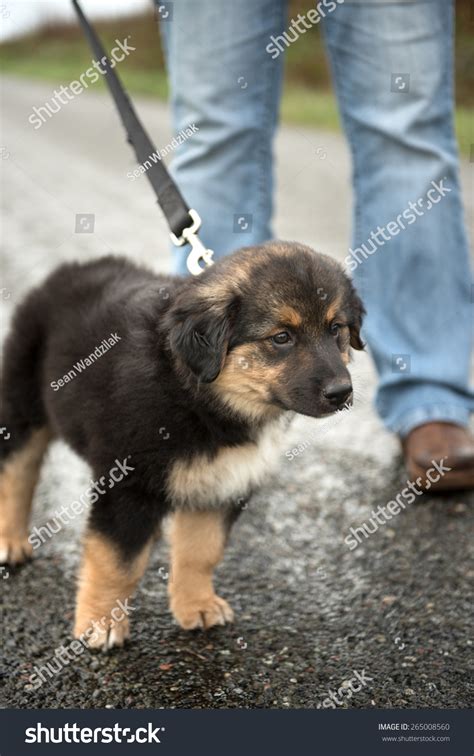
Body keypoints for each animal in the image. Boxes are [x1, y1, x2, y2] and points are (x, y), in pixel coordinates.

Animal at [0, 242, 364, 648]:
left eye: (336, 329)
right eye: (282, 337)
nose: (341, 393)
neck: (202, 398)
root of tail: (71, 269)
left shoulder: (223, 483)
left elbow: (200, 551)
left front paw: (197, 606)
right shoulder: (128, 484)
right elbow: (116, 562)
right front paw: (100, 624)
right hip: (24, 404)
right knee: (17, 471)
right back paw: (10, 541)